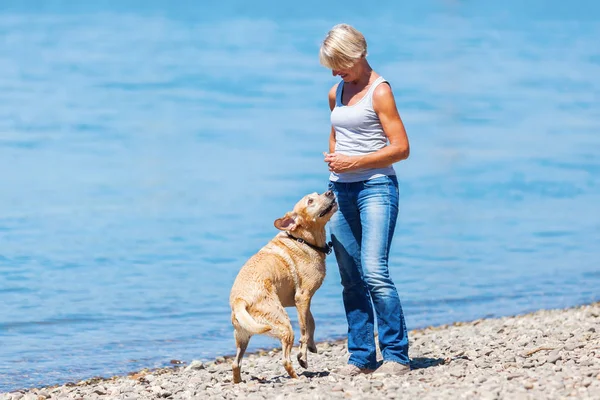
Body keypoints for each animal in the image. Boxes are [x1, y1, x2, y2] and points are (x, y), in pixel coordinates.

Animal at [230, 191, 338, 384]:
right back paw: (297, 377)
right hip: (284, 325)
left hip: (243, 335)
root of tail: (240, 300)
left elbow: (311, 323)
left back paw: (239, 382)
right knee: (285, 360)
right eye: (310, 201)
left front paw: (311, 346)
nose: (330, 191)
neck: (303, 240)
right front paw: (303, 356)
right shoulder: (303, 297)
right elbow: (304, 330)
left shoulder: (301, 301)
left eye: (317, 194)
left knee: (236, 363)